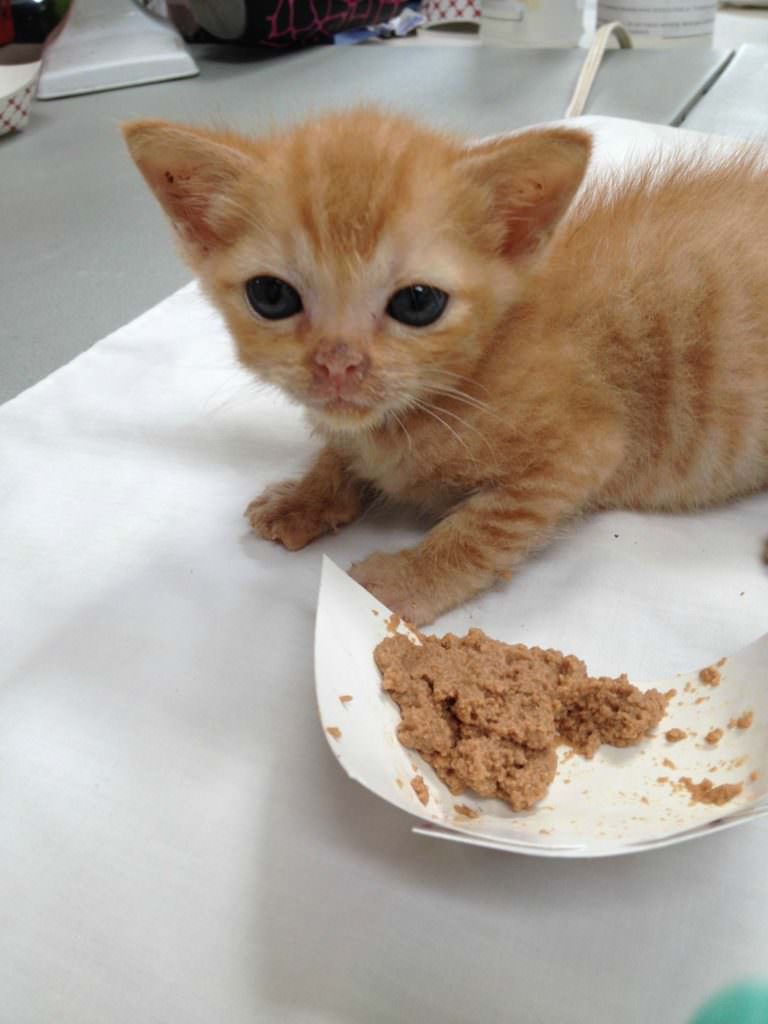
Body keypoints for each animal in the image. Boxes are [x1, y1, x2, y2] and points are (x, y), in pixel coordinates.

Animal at [123, 110, 768, 622]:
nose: (338, 365)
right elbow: (342, 452)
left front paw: (402, 583)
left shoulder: (584, 449)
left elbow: (482, 529)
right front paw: (307, 496)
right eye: (271, 296)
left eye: (418, 303)